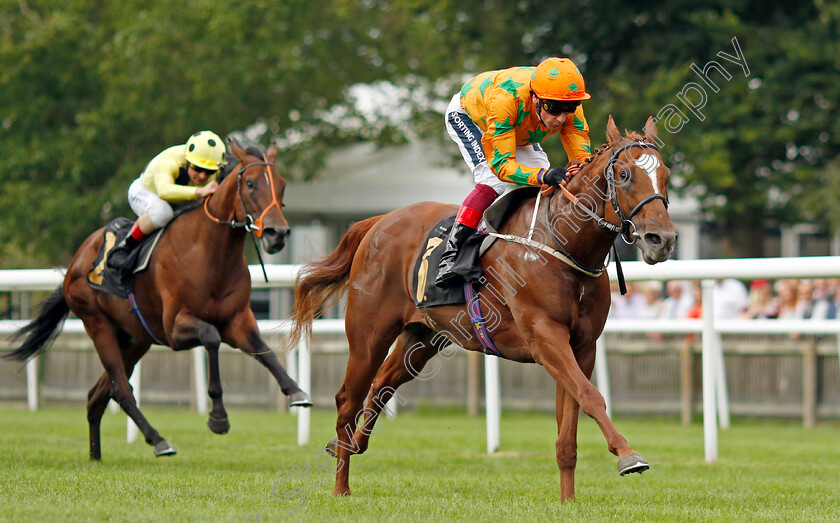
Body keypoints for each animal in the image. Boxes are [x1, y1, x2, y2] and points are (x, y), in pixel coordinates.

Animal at [5, 138, 308, 458]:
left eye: (282, 185)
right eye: (250, 183)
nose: (277, 233)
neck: (210, 252)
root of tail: (75, 262)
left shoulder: (237, 321)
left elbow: (265, 351)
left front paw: (296, 392)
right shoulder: (175, 328)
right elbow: (211, 337)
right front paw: (218, 417)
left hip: (134, 339)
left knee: (98, 395)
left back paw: (96, 456)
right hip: (97, 324)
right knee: (121, 390)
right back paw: (159, 440)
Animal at [288, 116, 676, 502]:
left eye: (667, 174)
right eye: (624, 174)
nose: (663, 239)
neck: (562, 244)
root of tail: (379, 221)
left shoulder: (582, 346)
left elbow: (570, 426)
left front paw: (568, 501)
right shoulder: (545, 337)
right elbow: (592, 397)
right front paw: (629, 456)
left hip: (423, 336)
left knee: (383, 383)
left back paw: (352, 446)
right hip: (369, 333)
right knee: (347, 399)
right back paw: (341, 485)